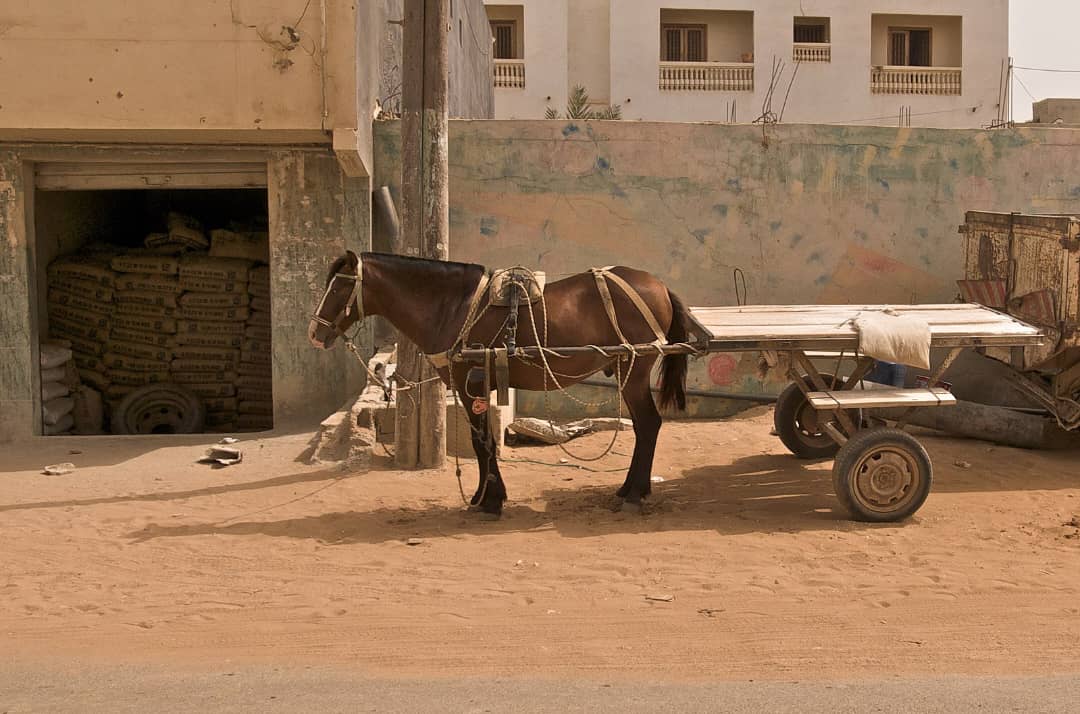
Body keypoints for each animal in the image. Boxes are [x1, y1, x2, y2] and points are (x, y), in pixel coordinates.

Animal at [308, 251, 686, 518]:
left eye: (339, 286)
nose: (314, 333)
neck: (453, 308)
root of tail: (659, 286)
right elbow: (483, 441)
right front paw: (484, 496)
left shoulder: (470, 383)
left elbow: (481, 442)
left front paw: (490, 500)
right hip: (627, 372)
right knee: (644, 426)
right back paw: (629, 489)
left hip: (634, 372)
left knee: (648, 425)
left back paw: (634, 495)